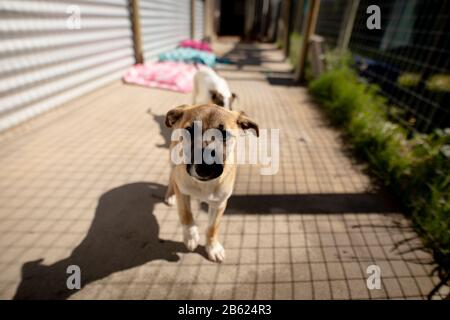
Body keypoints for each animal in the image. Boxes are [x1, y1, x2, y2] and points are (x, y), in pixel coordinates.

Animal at [165, 104, 258, 262]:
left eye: (225, 134)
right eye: (190, 130)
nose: (204, 168)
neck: (203, 185)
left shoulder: (219, 203)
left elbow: (212, 227)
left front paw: (213, 247)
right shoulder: (183, 193)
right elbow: (186, 214)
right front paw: (191, 237)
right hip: (173, 161)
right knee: (172, 178)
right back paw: (170, 195)